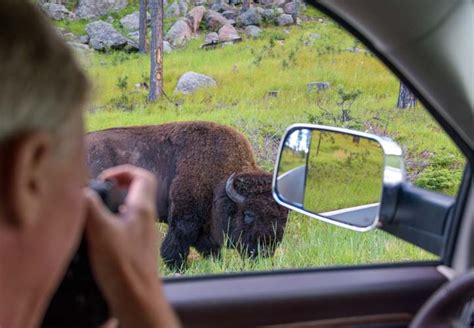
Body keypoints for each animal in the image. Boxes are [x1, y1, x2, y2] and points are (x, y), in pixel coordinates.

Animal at [87, 120, 290, 270]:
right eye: (248, 214)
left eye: (283, 218)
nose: (265, 251)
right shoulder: (184, 218)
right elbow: (177, 244)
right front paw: (178, 267)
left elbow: (209, 247)